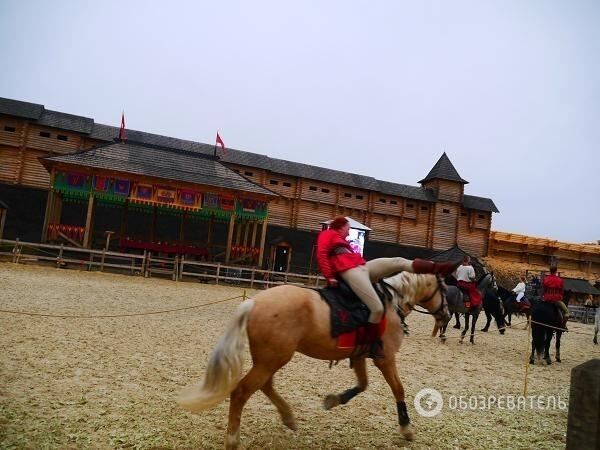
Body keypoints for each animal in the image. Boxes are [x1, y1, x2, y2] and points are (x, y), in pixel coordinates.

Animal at [178, 270, 450, 450]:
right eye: (446, 290)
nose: (447, 314)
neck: (391, 302)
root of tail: (255, 301)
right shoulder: (385, 359)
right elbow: (398, 389)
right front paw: (406, 428)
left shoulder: (359, 356)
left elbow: (362, 385)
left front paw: (334, 400)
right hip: (272, 359)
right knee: (242, 392)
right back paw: (233, 439)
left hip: (271, 359)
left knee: (265, 385)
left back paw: (288, 418)